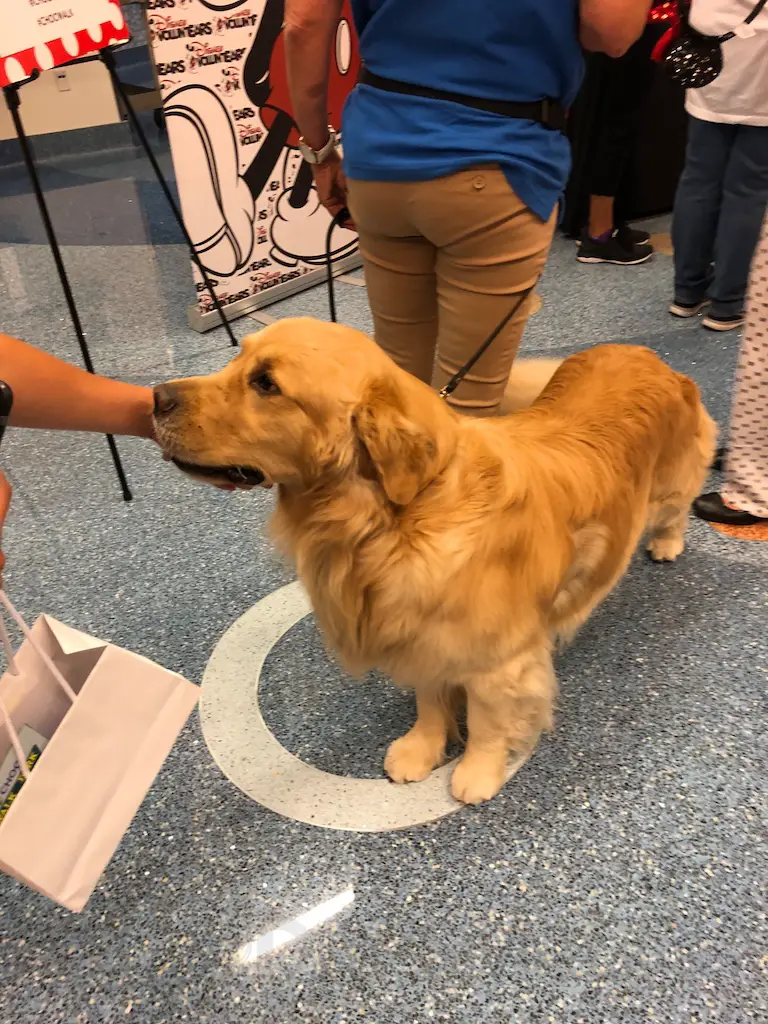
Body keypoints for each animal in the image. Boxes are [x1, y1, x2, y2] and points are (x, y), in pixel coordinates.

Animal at [153, 318, 717, 804]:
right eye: (237, 359)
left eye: (266, 384)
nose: (156, 398)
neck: (396, 520)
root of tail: (646, 353)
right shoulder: (421, 634)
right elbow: (429, 698)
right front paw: (421, 748)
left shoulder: (497, 659)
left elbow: (488, 721)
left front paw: (477, 772)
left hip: (672, 482)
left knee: (678, 506)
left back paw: (667, 542)